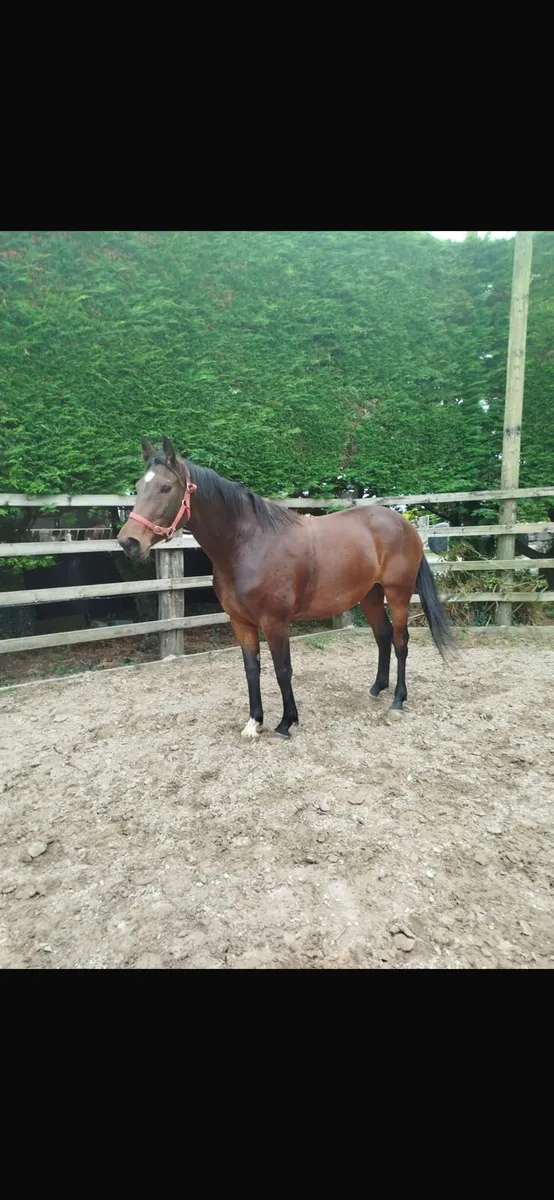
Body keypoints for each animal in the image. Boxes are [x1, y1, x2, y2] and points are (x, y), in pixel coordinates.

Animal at [118, 437, 453, 738]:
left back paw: (397, 700)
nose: (128, 541)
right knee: (382, 636)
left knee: (400, 641)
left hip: (398, 593)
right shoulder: (241, 623)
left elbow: (283, 670)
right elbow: (252, 669)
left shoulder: (275, 622)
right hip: (370, 594)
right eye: (138, 486)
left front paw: (285, 723)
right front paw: (254, 722)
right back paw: (376, 688)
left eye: (166, 487)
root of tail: (403, 523)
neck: (248, 545)